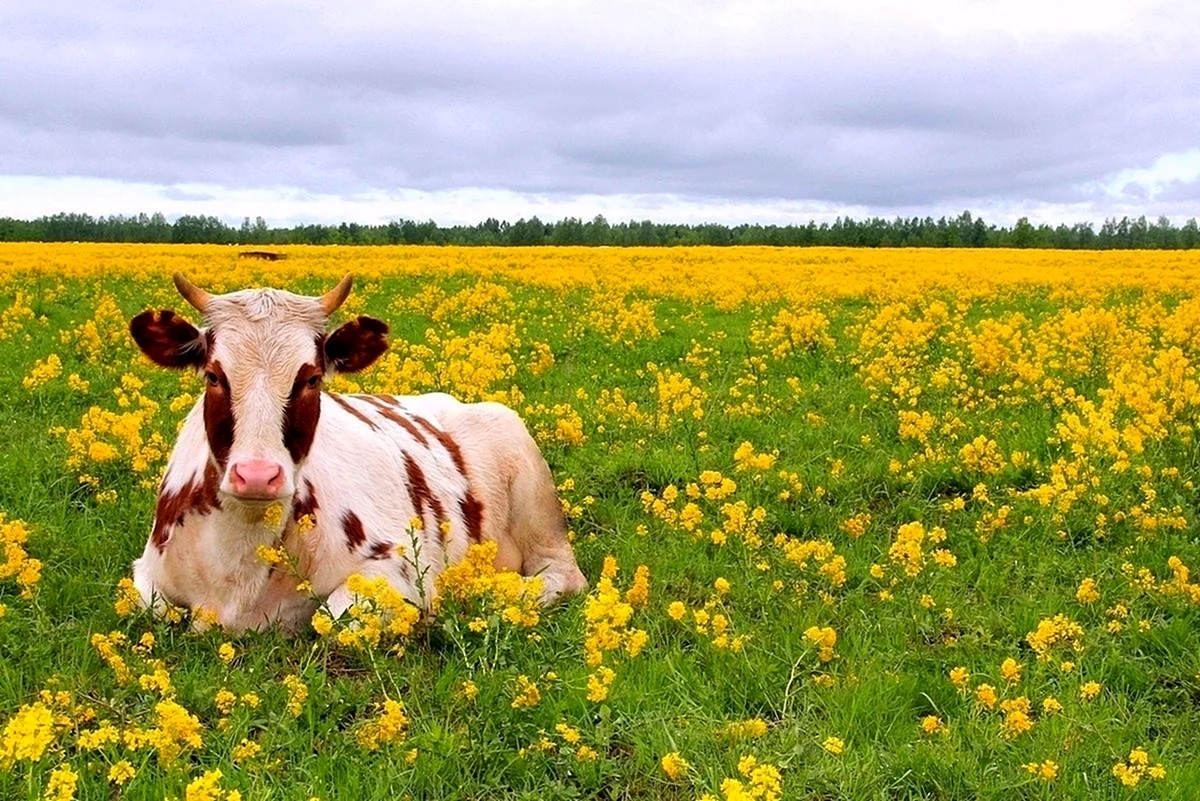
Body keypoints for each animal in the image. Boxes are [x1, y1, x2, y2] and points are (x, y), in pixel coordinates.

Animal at [125, 273, 585, 633]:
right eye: (213, 375)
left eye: (311, 378)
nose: (256, 475)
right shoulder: (144, 572)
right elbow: (149, 605)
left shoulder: (396, 566)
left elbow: (332, 617)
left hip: (536, 500)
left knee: (561, 575)